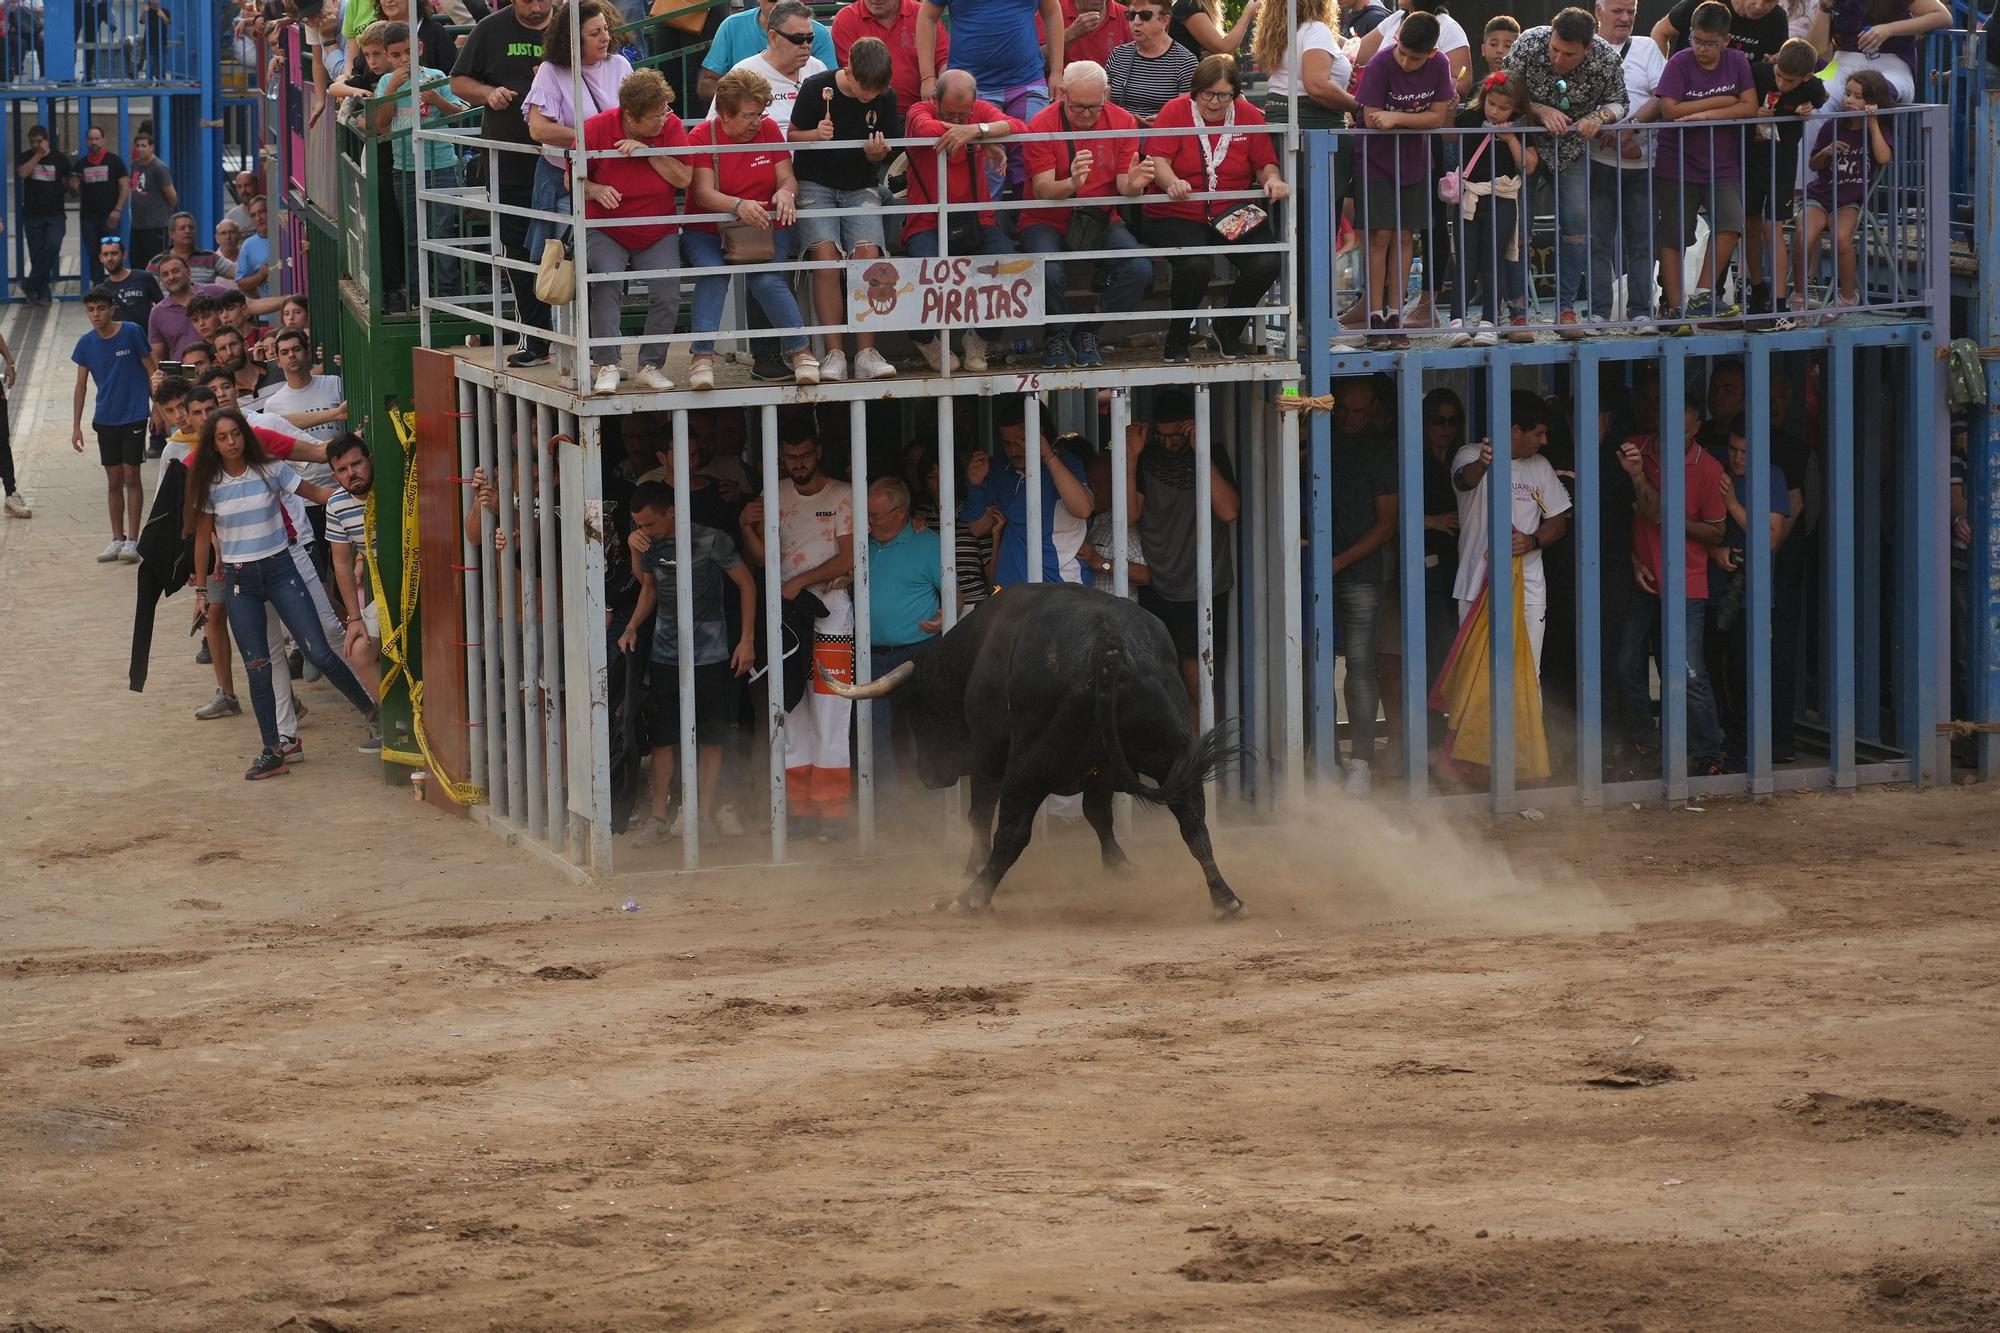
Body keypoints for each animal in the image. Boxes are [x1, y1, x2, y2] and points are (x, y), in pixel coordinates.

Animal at [820, 580, 1240, 912]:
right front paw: (1119, 865)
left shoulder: (987, 756)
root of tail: (1109, 649)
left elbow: (979, 816)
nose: (928, 775)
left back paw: (970, 897)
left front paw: (969, 869)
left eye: (915, 708)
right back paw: (1225, 897)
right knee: (1192, 819)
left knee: (1012, 831)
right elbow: (1098, 814)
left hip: (1030, 765)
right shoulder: (1103, 771)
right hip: (1171, 753)